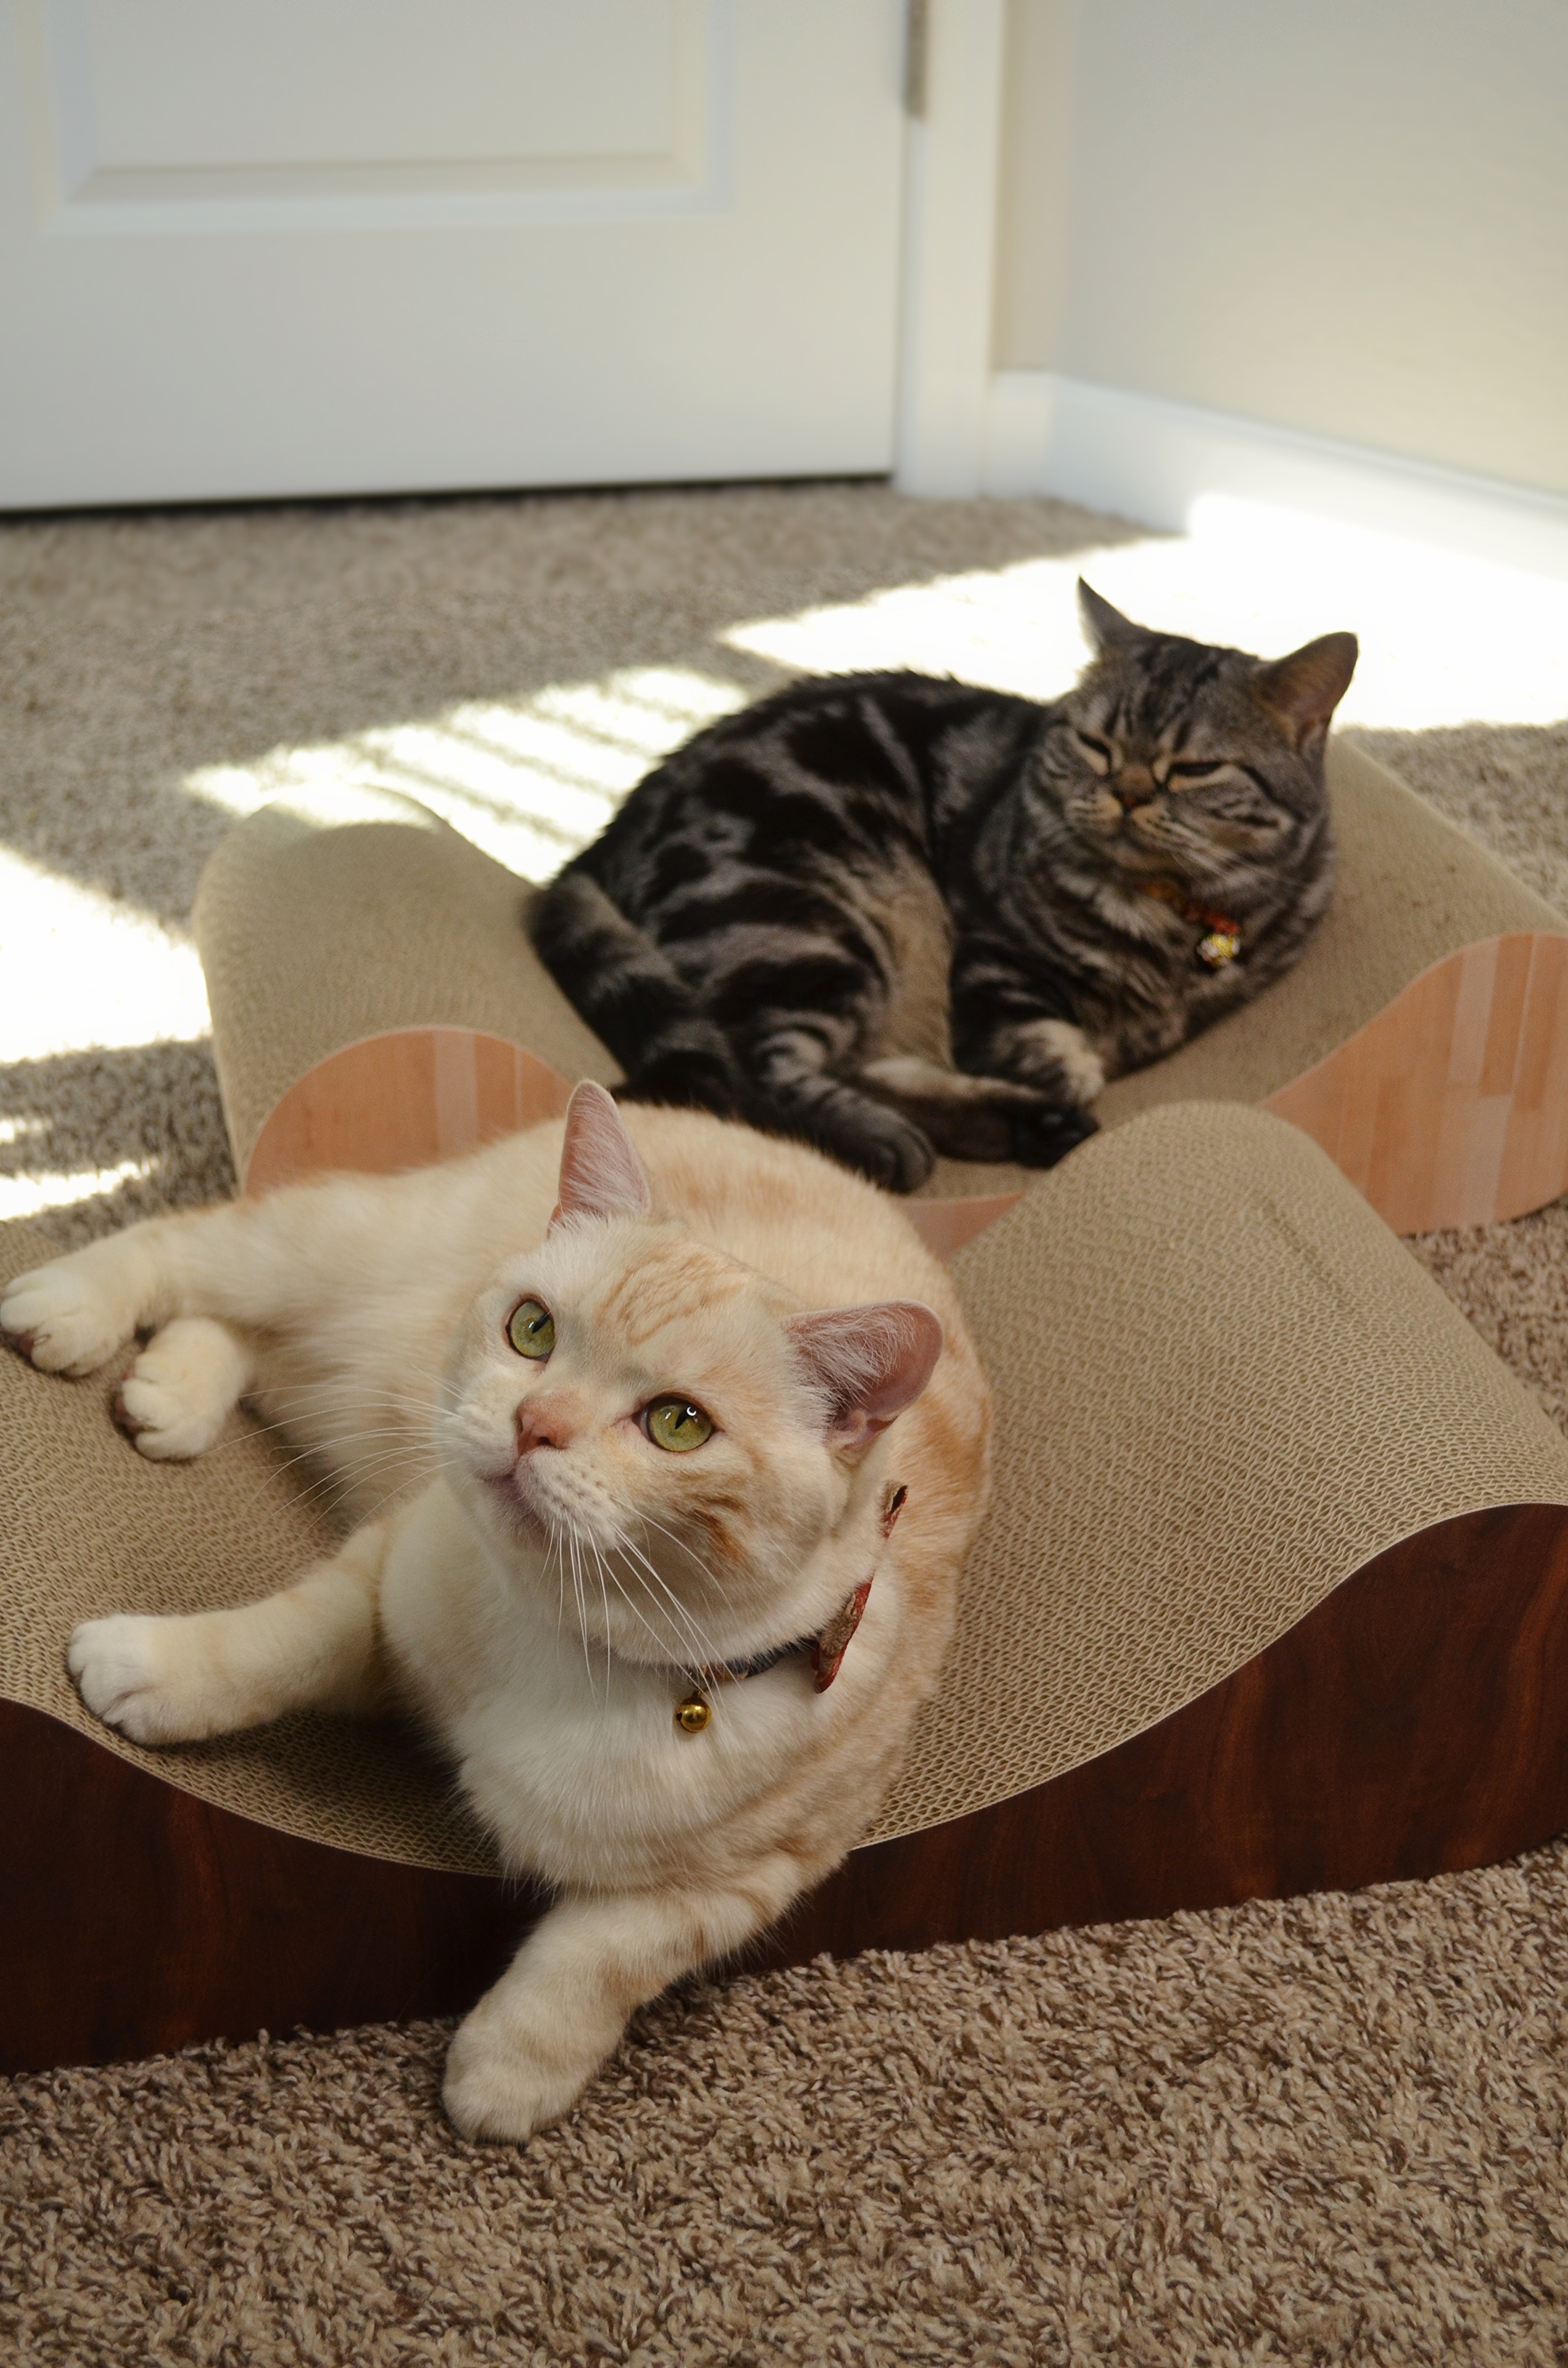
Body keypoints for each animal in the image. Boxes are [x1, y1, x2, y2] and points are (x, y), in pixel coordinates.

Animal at [535, 582, 1355, 1193]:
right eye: (1096, 746)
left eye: (1194, 769)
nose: (1124, 794)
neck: (1163, 913)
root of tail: (603, 841)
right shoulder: (991, 946)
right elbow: (1040, 1038)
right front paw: (1066, 1067)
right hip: (811, 932)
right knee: (758, 1076)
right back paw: (901, 1138)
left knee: (851, 1067)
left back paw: (1022, 1127)